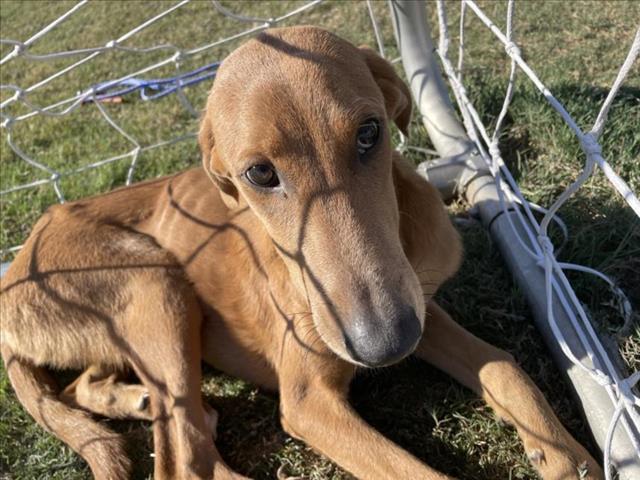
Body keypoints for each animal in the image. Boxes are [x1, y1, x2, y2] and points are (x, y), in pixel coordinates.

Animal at [0, 27, 600, 480]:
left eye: (369, 133)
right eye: (259, 174)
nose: (384, 345)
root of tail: (15, 267)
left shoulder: (419, 307)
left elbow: (505, 365)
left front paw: (563, 453)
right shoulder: (308, 398)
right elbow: (414, 472)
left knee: (93, 390)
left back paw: (132, 401)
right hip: (155, 282)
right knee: (184, 460)